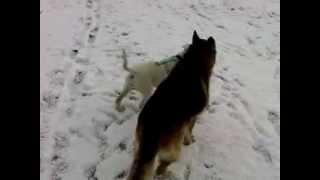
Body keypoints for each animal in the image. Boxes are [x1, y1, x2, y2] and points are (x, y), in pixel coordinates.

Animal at [126, 31, 216, 180]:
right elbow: (189, 132)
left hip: (138, 148)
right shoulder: (191, 118)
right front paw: (190, 142)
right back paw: (166, 173)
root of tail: (152, 129)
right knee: (161, 167)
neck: (194, 62)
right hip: (173, 150)